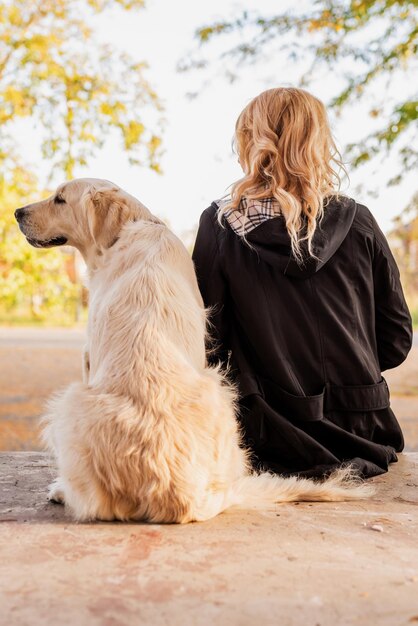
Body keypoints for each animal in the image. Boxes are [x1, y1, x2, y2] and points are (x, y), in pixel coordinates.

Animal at [14, 178, 370, 520]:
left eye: (60, 199)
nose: (17, 212)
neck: (134, 228)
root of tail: (178, 495)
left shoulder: (88, 357)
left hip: (72, 401)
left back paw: (62, 490)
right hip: (221, 391)